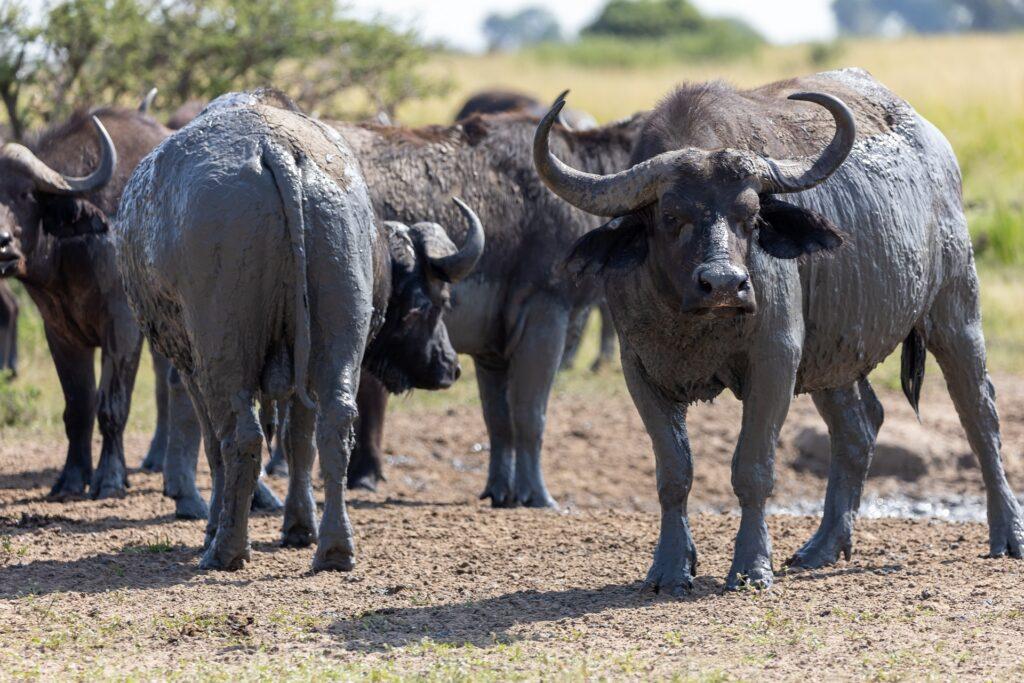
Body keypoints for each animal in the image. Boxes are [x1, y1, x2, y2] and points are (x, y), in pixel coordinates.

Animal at [0, 108, 167, 501]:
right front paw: (72, 479)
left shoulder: (122, 329)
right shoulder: (60, 332)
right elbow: (78, 406)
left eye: (25, 194)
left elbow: (112, 406)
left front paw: (110, 479)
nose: (1, 242)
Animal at [117, 90, 485, 573]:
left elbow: (216, 447)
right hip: (337, 330)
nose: (450, 367)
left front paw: (216, 526)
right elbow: (298, 442)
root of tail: (275, 147)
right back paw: (333, 547)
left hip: (222, 352)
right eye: (431, 305)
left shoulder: (190, 366)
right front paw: (298, 526)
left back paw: (226, 549)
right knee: (335, 424)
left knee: (241, 436)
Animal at [536, 69, 1024, 593]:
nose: (724, 283)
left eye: (751, 217)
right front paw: (669, 567)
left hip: (955, 311)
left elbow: (753, 468)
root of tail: (937, 149)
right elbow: (673, 472)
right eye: (670, 216)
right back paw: (823, 546)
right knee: (859, 428)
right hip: (831, 354)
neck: (693, 322)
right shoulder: (640, 369)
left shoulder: (775, 360)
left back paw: (1007, 534)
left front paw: (751, 566)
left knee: (980, 414)